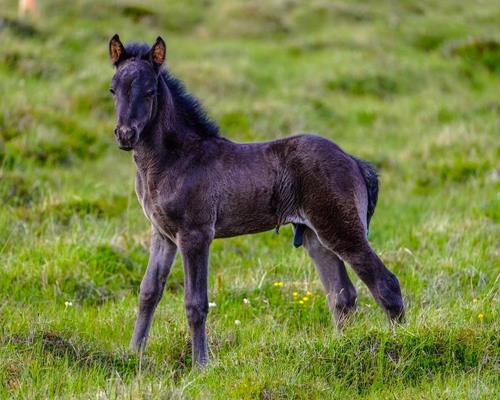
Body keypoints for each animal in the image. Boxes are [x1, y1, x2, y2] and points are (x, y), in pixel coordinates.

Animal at [107, 35, 404, 368]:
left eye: (150, 91)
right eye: (113, 89)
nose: (125, 135)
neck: (175, 159)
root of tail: (354, 162)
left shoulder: (195, 234)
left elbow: (195, 303)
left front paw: (201, 366)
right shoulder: (163, 235)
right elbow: (148, 292)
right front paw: (132, 355)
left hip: (342, 229)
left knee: (386, 285)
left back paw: (400, 343)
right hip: (315, 237)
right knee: (342, 296)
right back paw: (342, 347)